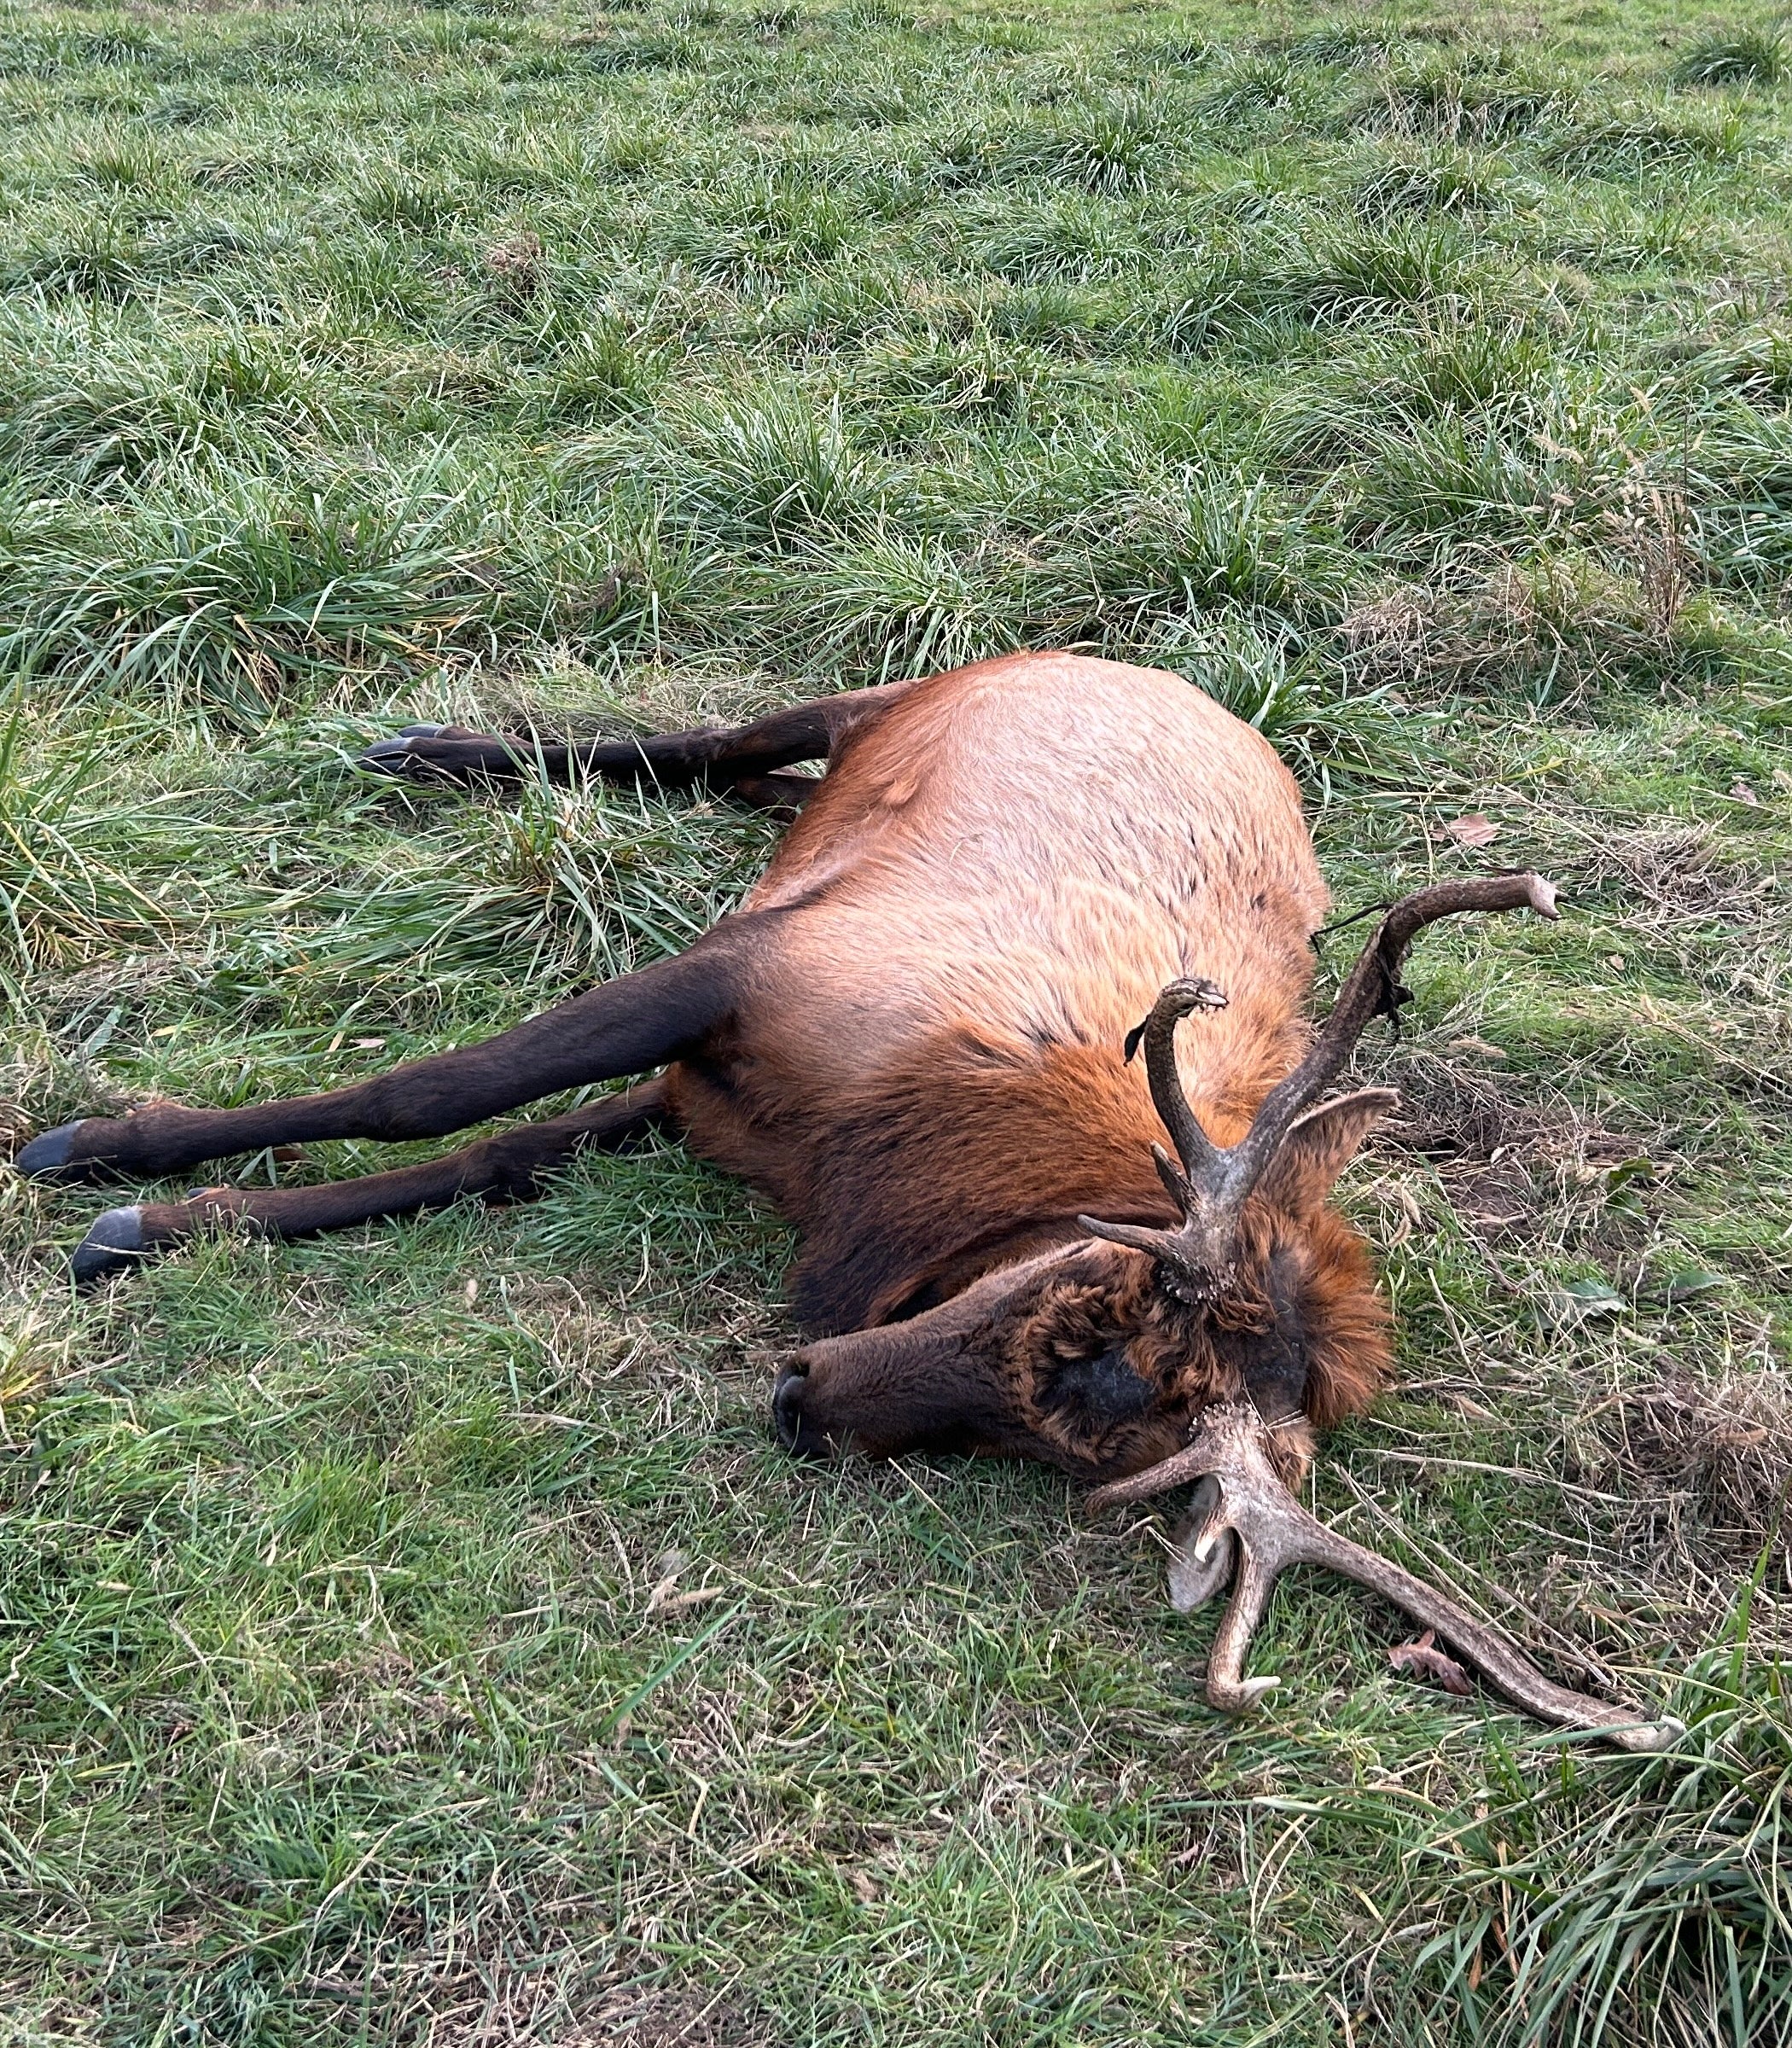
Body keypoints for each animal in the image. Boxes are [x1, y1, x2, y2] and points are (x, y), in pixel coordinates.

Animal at [17, 652, 1682, 1751]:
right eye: (1067, 1305)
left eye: (1080, 1454)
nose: (800, 1397)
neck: (883, 1162)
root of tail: (1169, 674)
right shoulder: (739, 980)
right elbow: (426, 1092)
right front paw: (97, 1151)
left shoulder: (709, 1108)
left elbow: (480, 1160)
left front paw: (161, 1224)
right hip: (888, 696)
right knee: (703, 740)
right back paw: (433, 747)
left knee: (753, 782)